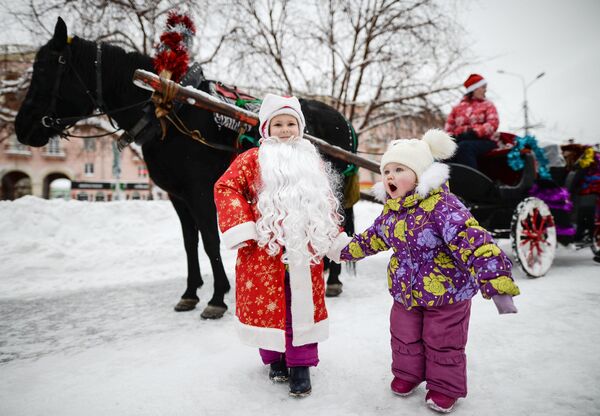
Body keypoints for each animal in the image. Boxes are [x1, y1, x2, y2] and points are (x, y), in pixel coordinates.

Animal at [15, 17, 356, 318]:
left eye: (45, 68)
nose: (21, 128)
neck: (168, 111)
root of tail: (342, 119)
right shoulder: (178, 197)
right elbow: (190, 244)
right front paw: (191, 293)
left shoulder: (200, 193)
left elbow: (209, 241)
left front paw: (217, 297)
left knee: (336, 223)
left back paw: (333, 278)